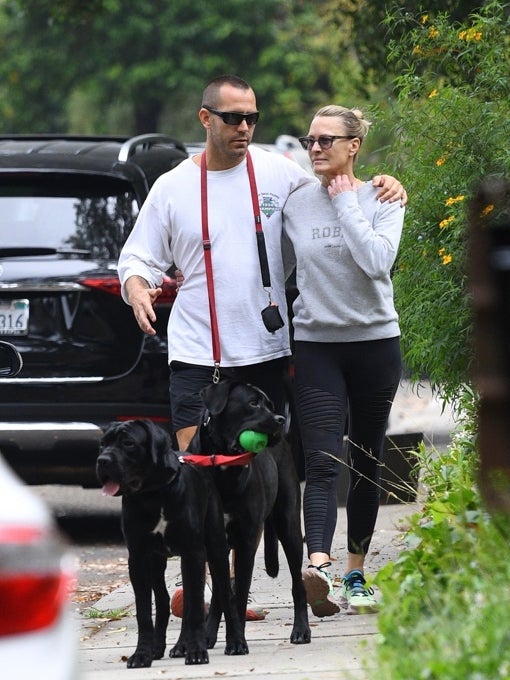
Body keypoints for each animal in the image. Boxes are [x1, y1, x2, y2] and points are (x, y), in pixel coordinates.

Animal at [96, 422, 248, 668]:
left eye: (128, 443)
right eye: (103, 444)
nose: (103, 460)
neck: (154, 494)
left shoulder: (193, 552)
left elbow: (195, 608)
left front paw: (196, 652)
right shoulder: (138, 558)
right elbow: (144, 611)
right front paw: (142, 654)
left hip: (215, 549)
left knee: (225, 594)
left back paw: (235, 643)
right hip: (157, 563)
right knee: (163, 599)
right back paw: (161, 647)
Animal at [188, 380, 310, 644]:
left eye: (269, 404)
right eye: (253, 403)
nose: (280, 419)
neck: (222, 466)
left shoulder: (246, 542)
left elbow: (240, 596)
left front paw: (237, 640)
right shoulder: (212, 542)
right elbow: (224, 593)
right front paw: (215, 635)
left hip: (289, 527)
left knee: (298, 583)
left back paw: (301, 630)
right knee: (219, 592)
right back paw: (210, 634)